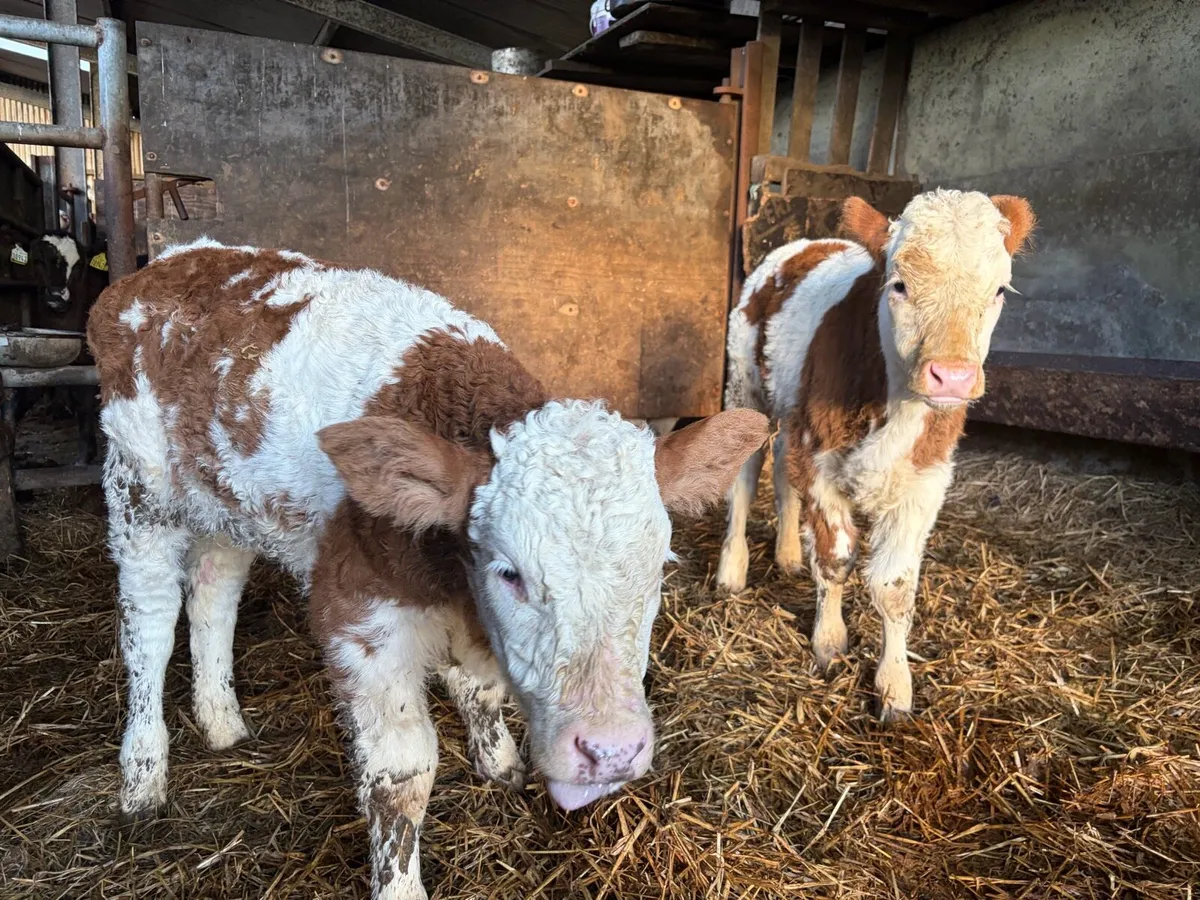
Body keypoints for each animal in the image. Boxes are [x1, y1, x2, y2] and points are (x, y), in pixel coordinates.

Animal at [87, 238, 768, 900]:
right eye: (510, 573)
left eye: (658, 568)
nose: (610, 750)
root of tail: (173, 259)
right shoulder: (360, 619)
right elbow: (402, 773)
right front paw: (399, 882)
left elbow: (481, 689)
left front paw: (499, 761)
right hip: (139, 493)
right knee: (149, 627)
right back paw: (142, 776)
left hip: (227, 505)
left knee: (214, 593)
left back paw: (222, 720)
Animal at [716, 189, 1034, 722]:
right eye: (899, 285)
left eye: (999, 291)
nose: (952, 376)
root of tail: (808, 243)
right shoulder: (820, 461)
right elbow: (836, 560)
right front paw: (829, 644)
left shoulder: (925, 480)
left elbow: (895, 588)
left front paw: (894, 687)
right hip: (744, 384)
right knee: (745, 473)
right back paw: (731, 570)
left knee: (781, 467)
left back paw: (787, 555)